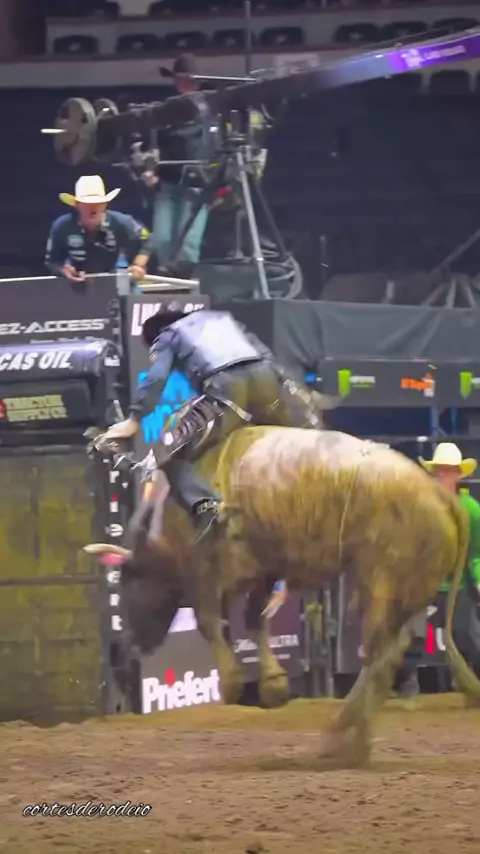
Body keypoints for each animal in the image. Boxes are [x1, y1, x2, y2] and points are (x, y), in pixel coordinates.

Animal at [84, 426, 480, 766]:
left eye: (127, 581)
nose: (129, 644)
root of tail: (443, 497)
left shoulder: (205, 571)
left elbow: (211, 621)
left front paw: (233, 682)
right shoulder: (264, 568)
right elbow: (255, 617)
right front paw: (273, 684)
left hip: (383, 583)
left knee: (381, 659)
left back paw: (344, 737)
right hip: (400, 592)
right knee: (389, 653)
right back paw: (348, 736)